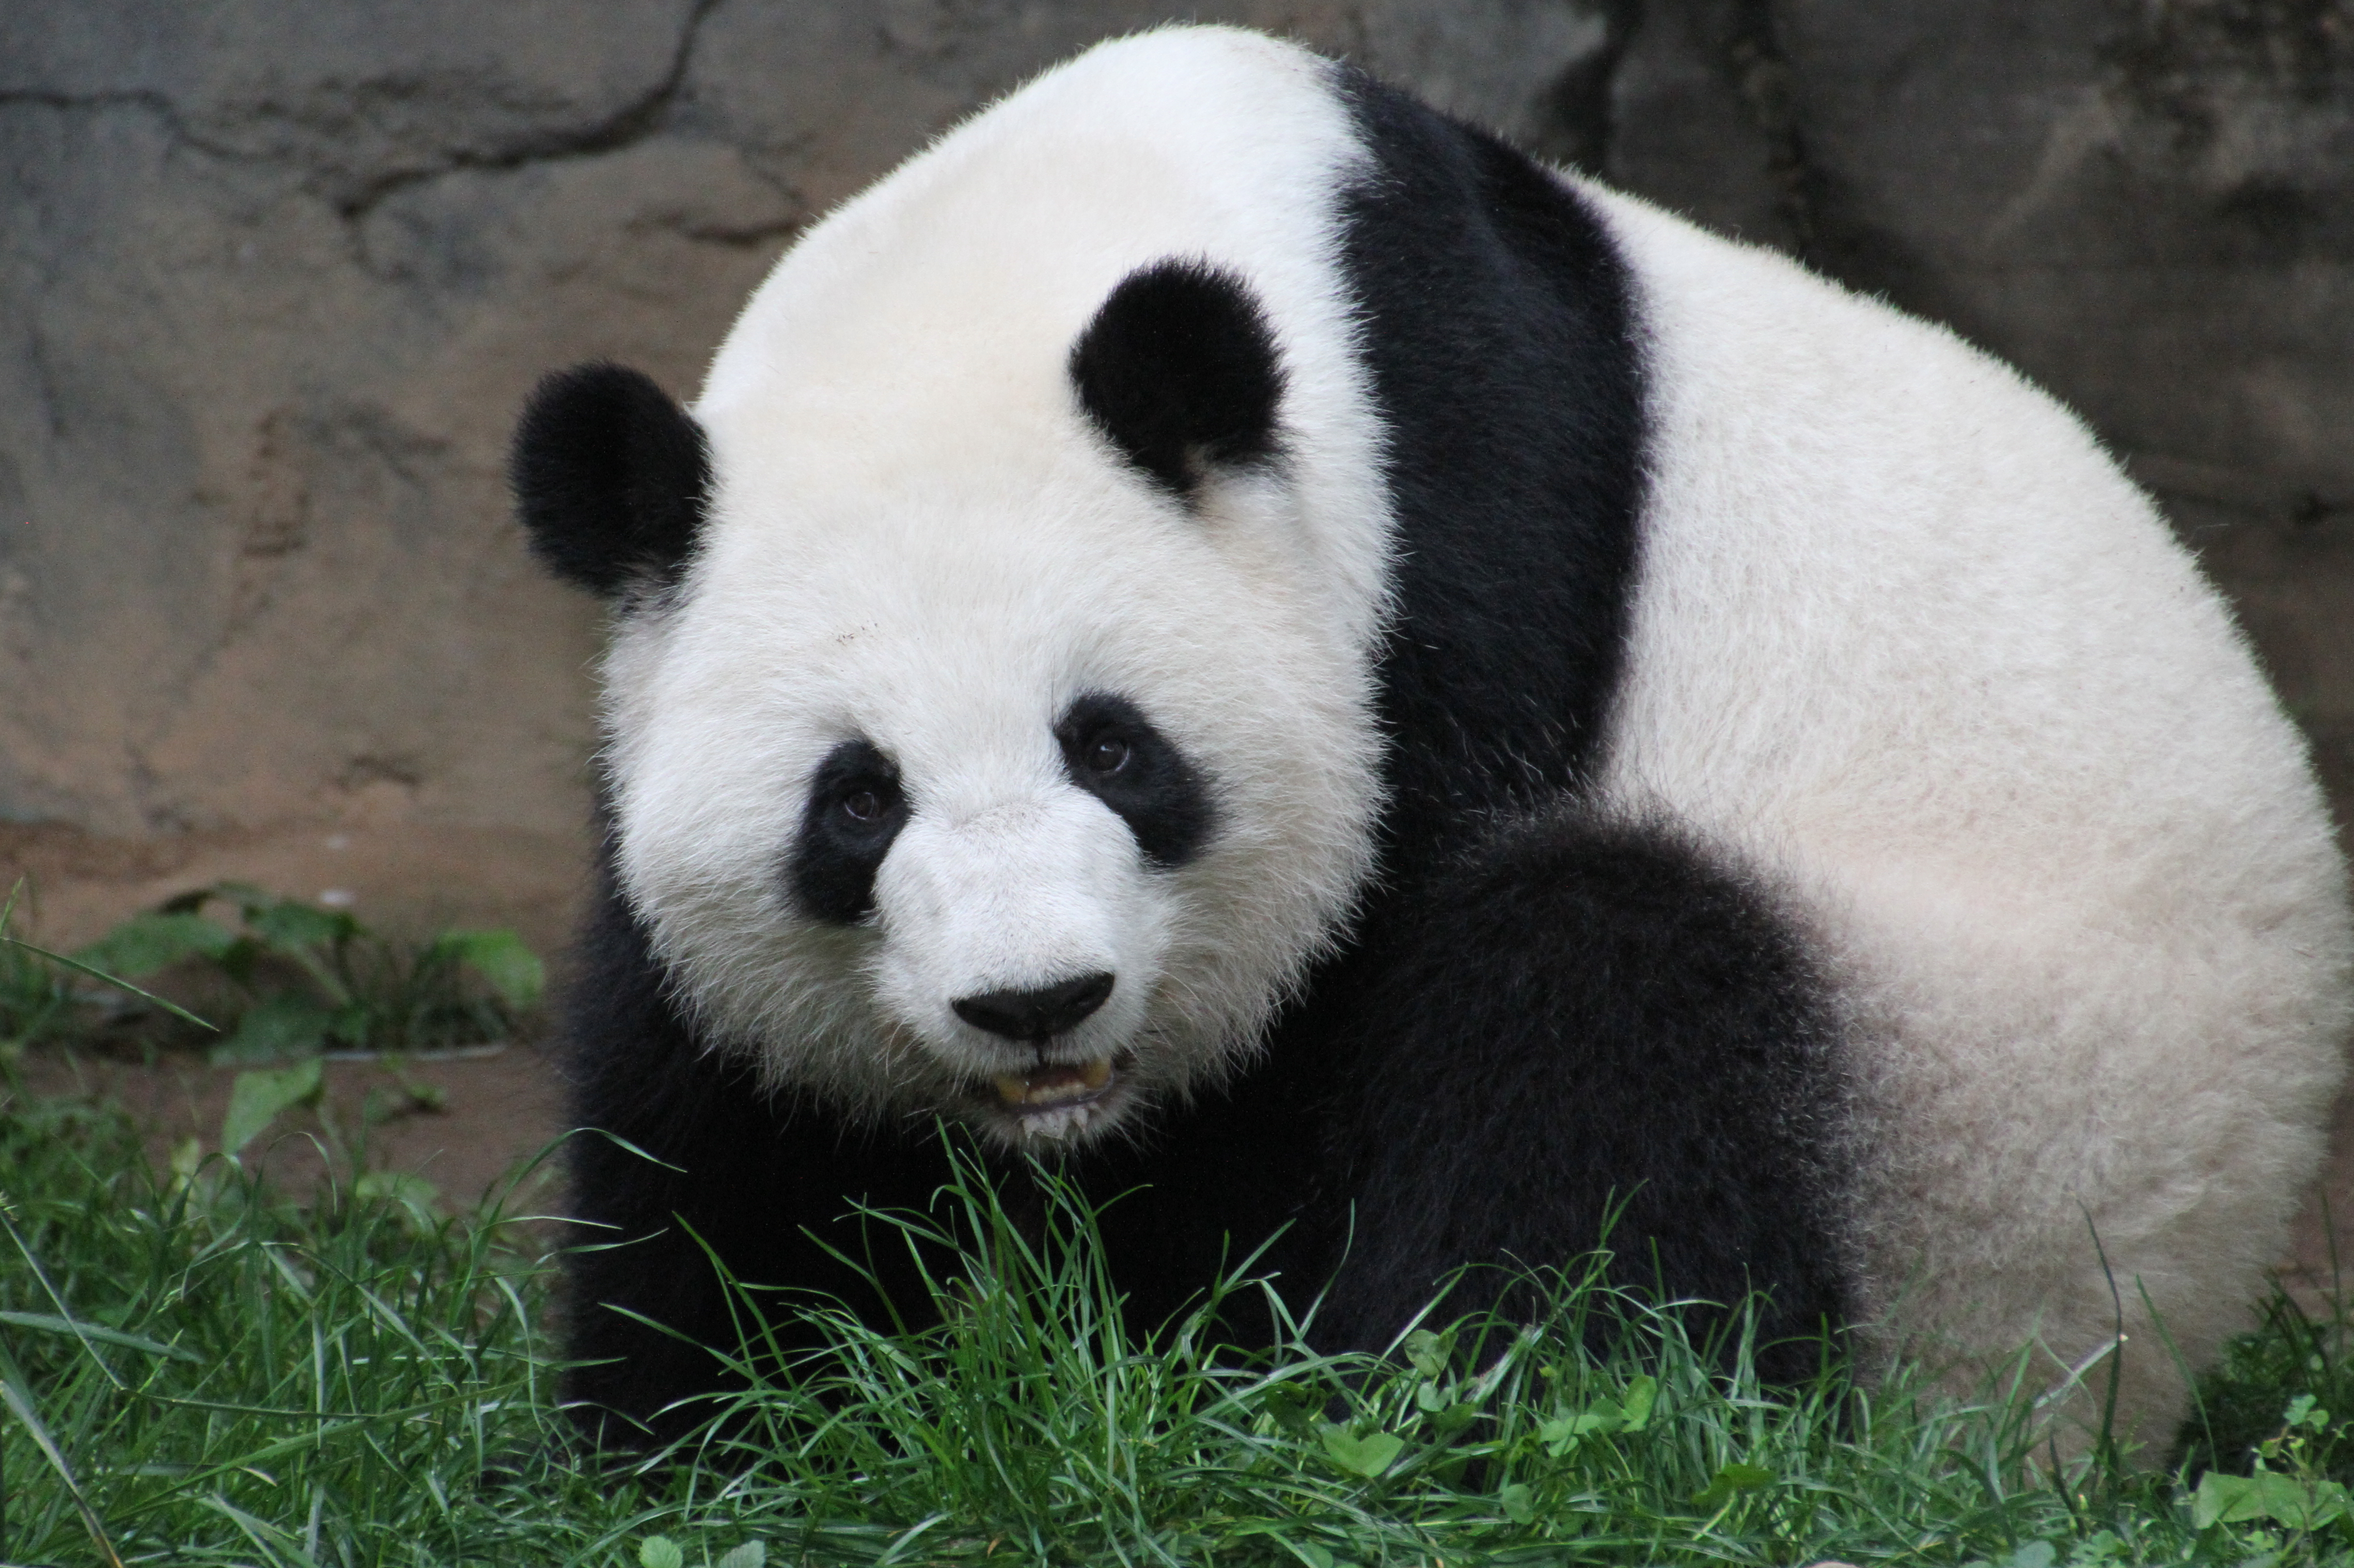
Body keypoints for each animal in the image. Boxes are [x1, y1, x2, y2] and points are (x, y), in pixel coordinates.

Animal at [515, 24, 2354, 1450]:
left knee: (1609, 1022)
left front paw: (1205, 1393)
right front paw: (710, 1428)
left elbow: (1335, 1043)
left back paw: (1466, 1417)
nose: (1036, 1003)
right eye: (855, 803)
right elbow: (719, 1106)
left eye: (1113, 749)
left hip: (1990, 1129)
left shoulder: (1454, 548)